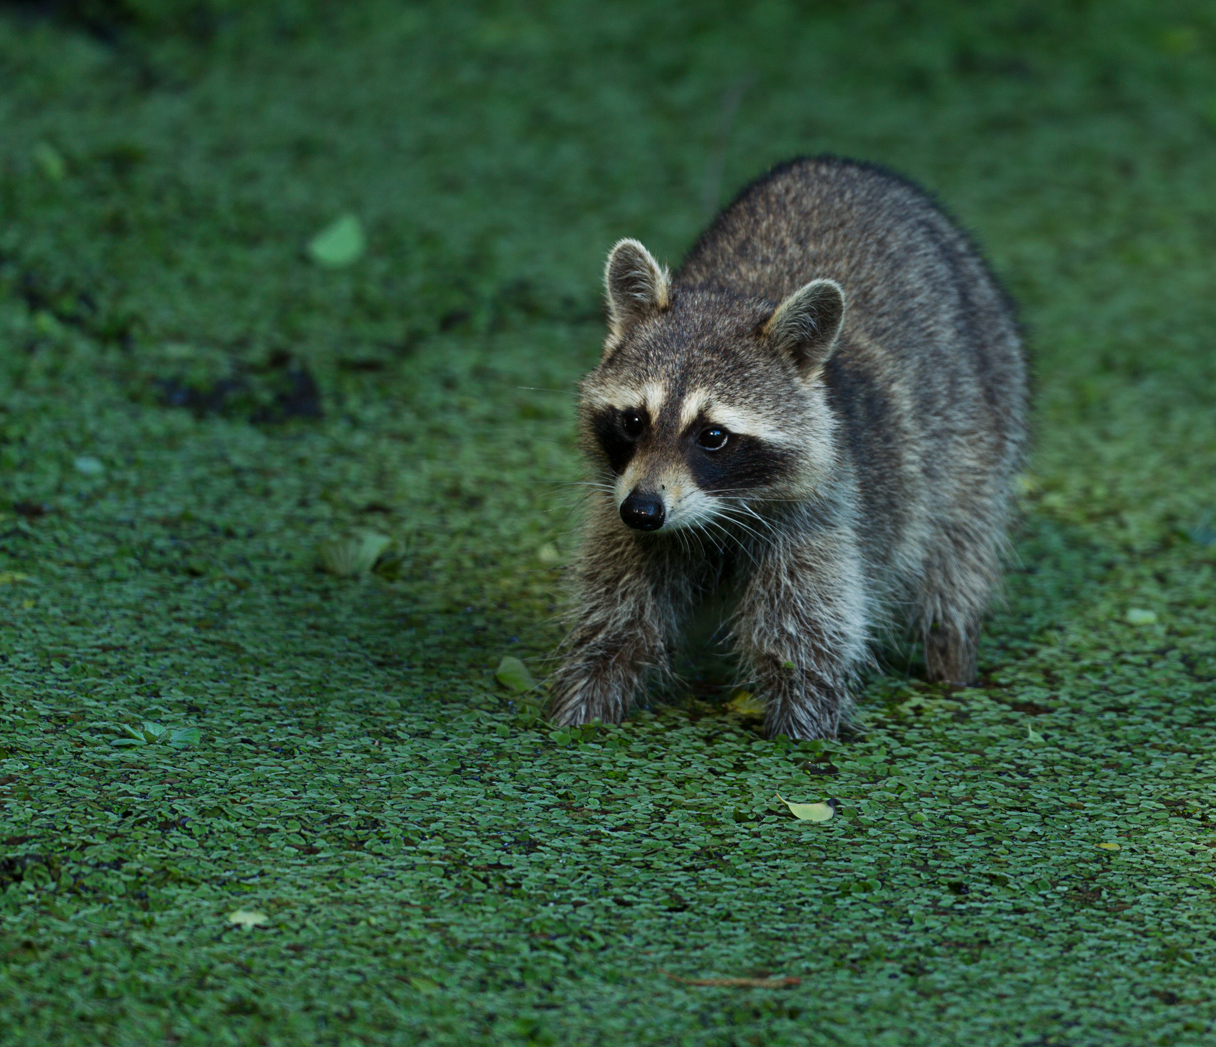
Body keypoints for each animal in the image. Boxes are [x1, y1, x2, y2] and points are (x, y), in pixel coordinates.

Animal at [549, 156, 1026, 744]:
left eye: (712, 436)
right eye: (634, 421)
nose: (642, 511)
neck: (715, 516)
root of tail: (841, 164)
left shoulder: (822, 518)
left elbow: (803, 649)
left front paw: (804, 733)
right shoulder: (624, 515)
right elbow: (615, 626)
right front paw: (574, 712)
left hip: (984, 415)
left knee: (958, 557)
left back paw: (952, 657)